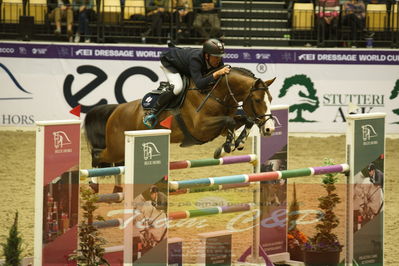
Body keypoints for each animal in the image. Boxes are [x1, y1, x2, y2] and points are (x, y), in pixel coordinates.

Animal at [83, 66, 278, 166]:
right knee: (97, 155)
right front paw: (226, 147)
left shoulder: (221, 126)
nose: (269, 129)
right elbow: (231, 121)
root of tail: (116, 110)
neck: (215, 94)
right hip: (116, 148)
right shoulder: (201, 128)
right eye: (257, 99)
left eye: (270, 99)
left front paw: (238, 142)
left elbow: (245, 120)